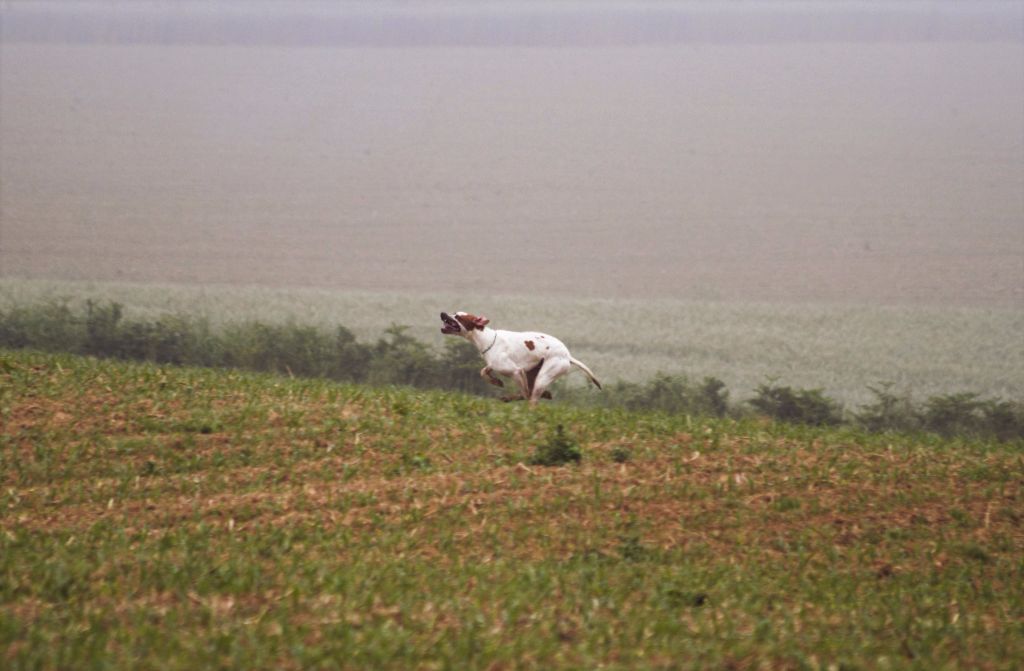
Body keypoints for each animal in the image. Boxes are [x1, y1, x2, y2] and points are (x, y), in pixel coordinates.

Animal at [440, 311, 598, 403]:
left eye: (458, 316)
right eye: (454, 312)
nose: (442, 313)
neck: (487, 338)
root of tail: (567, 355)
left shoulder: (516, 372)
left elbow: (524, 393)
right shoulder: (495, 365)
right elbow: (483, 371)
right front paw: (496, 381)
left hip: (542, 377)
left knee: (531, 398)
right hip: (533, 373)